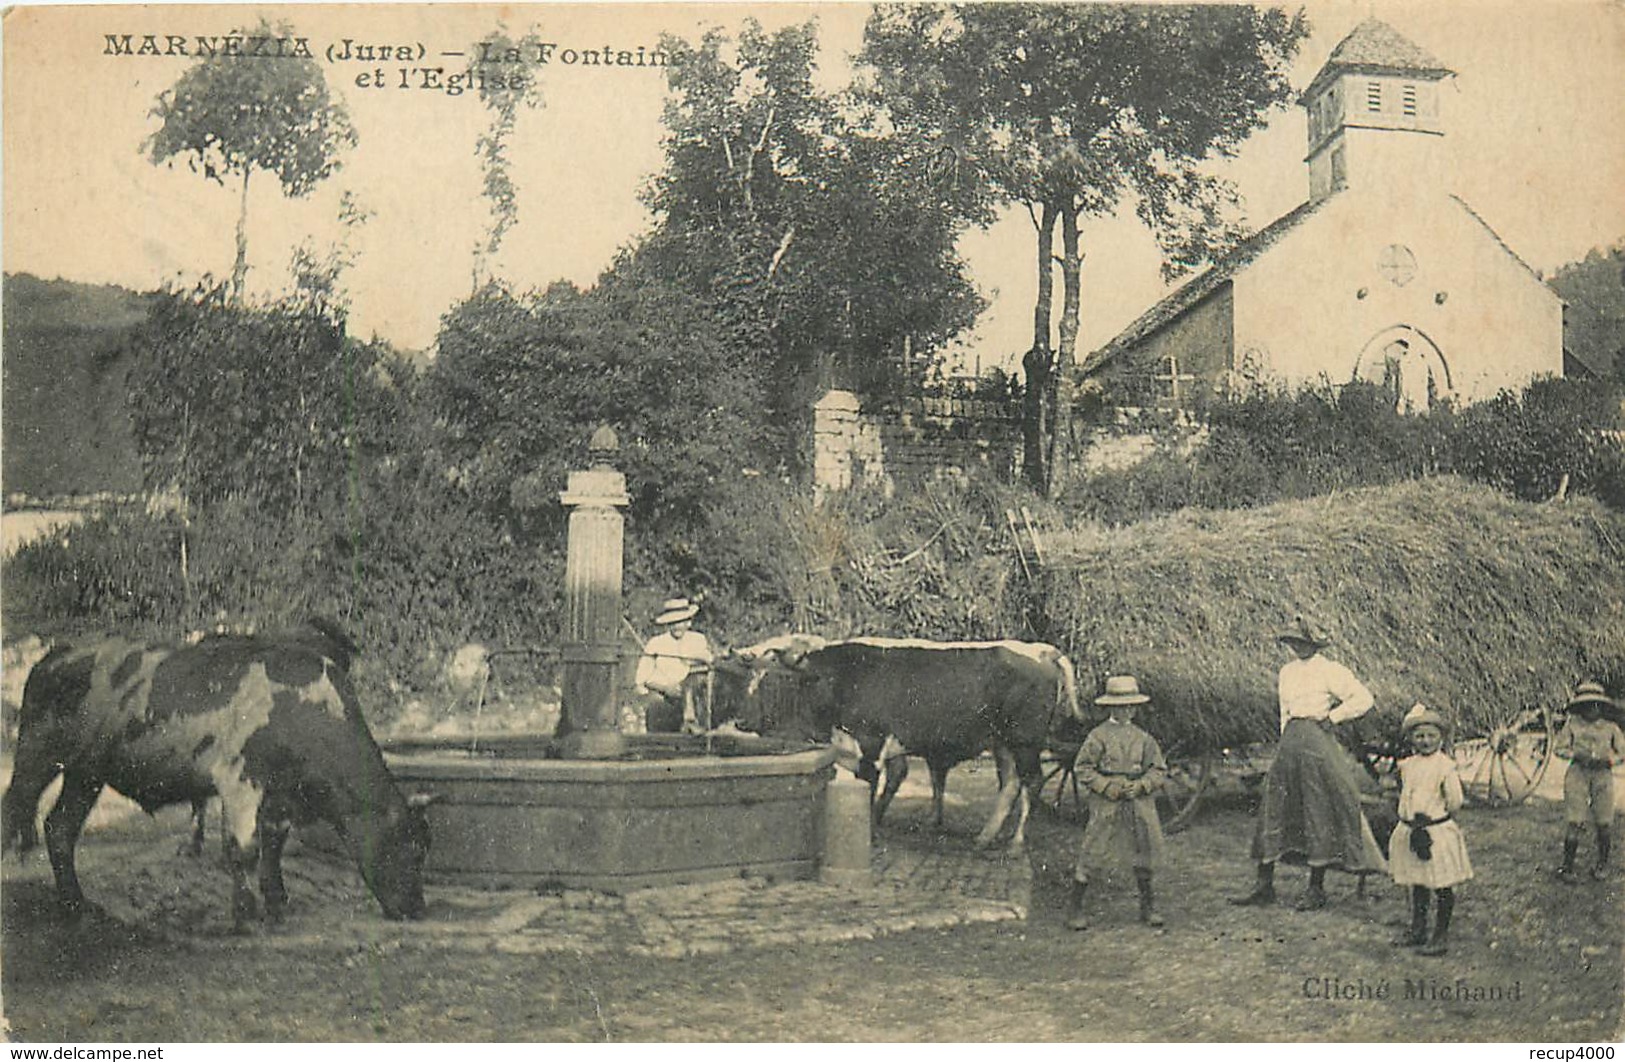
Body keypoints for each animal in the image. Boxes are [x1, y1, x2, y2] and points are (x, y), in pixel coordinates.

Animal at [1, 623, 432, 935]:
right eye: (408, 847)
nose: (416, 909)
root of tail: (57, 655)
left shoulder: (279, 792)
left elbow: (273, 843)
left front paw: (277, 903)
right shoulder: (239, 778)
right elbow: (243, 849)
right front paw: (246, 915)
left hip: (85, 772)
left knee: (60, 828)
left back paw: (77, 906)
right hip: (36, 756)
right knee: (15, 811)